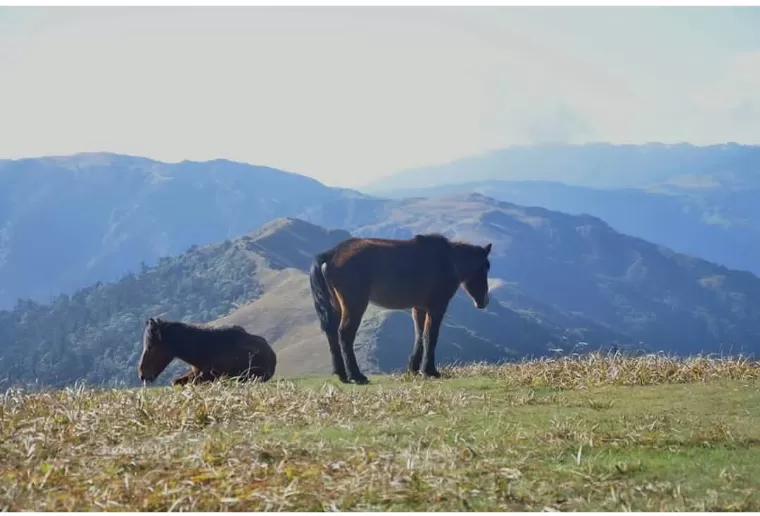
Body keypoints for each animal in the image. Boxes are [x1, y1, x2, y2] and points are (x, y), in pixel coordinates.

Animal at [308, 233, 492, 382]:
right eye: (484, 268)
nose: (483, 301)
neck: (448, 261)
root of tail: (332, 254)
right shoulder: (437, 307)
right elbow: (430, 336)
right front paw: (430, 370)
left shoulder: (419, 308)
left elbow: (419, 335)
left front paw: (414, 369)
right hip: (354, 305)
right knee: (345, 334)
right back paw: (356, 375)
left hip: (335, 307)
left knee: (332, 333)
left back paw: (341, 374)